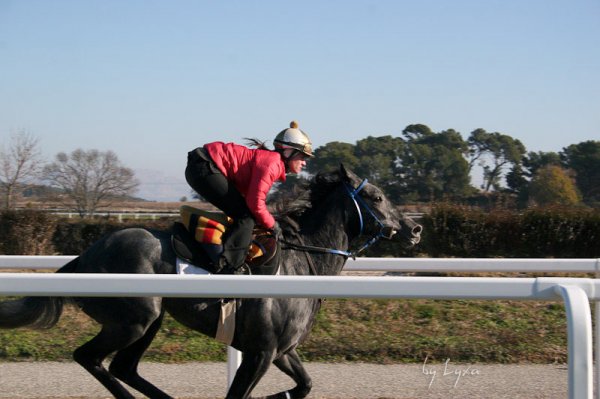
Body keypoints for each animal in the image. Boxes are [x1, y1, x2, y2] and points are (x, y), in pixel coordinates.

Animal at [0, 166, 422, 399]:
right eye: (377, 197)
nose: (415, 229)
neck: (303, 264)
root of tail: (83, 257)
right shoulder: (261, 352)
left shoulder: (281, 350)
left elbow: (304, 386)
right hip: (134, 319)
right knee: (90, 358)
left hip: (150, 321)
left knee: (123, 367)